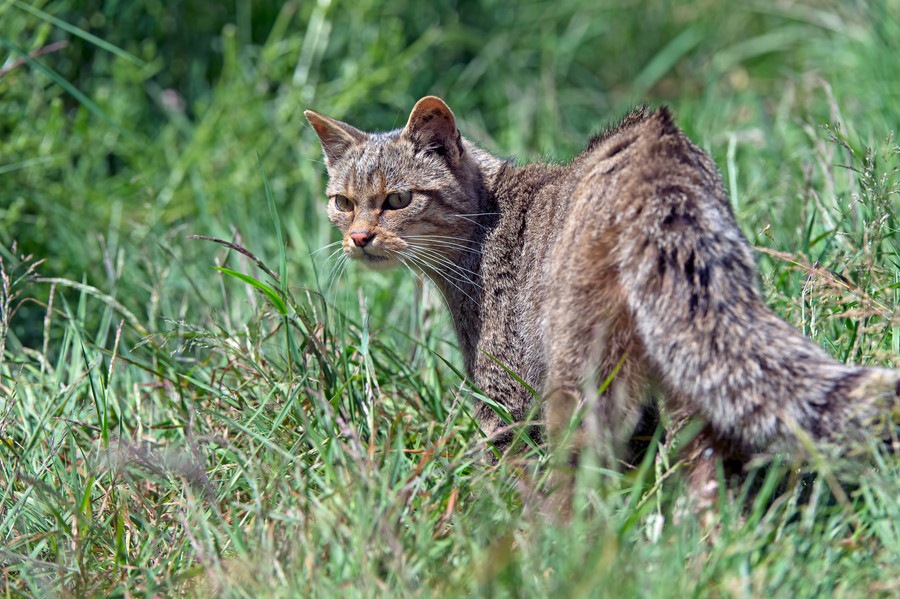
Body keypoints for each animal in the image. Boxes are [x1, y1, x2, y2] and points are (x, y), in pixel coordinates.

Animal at [306, 95, 896, 492]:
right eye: (342, 202)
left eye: (397, 200)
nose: (358, 238)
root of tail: (659, 153)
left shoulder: (505, 393)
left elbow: (506, 468)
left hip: (583, 375)